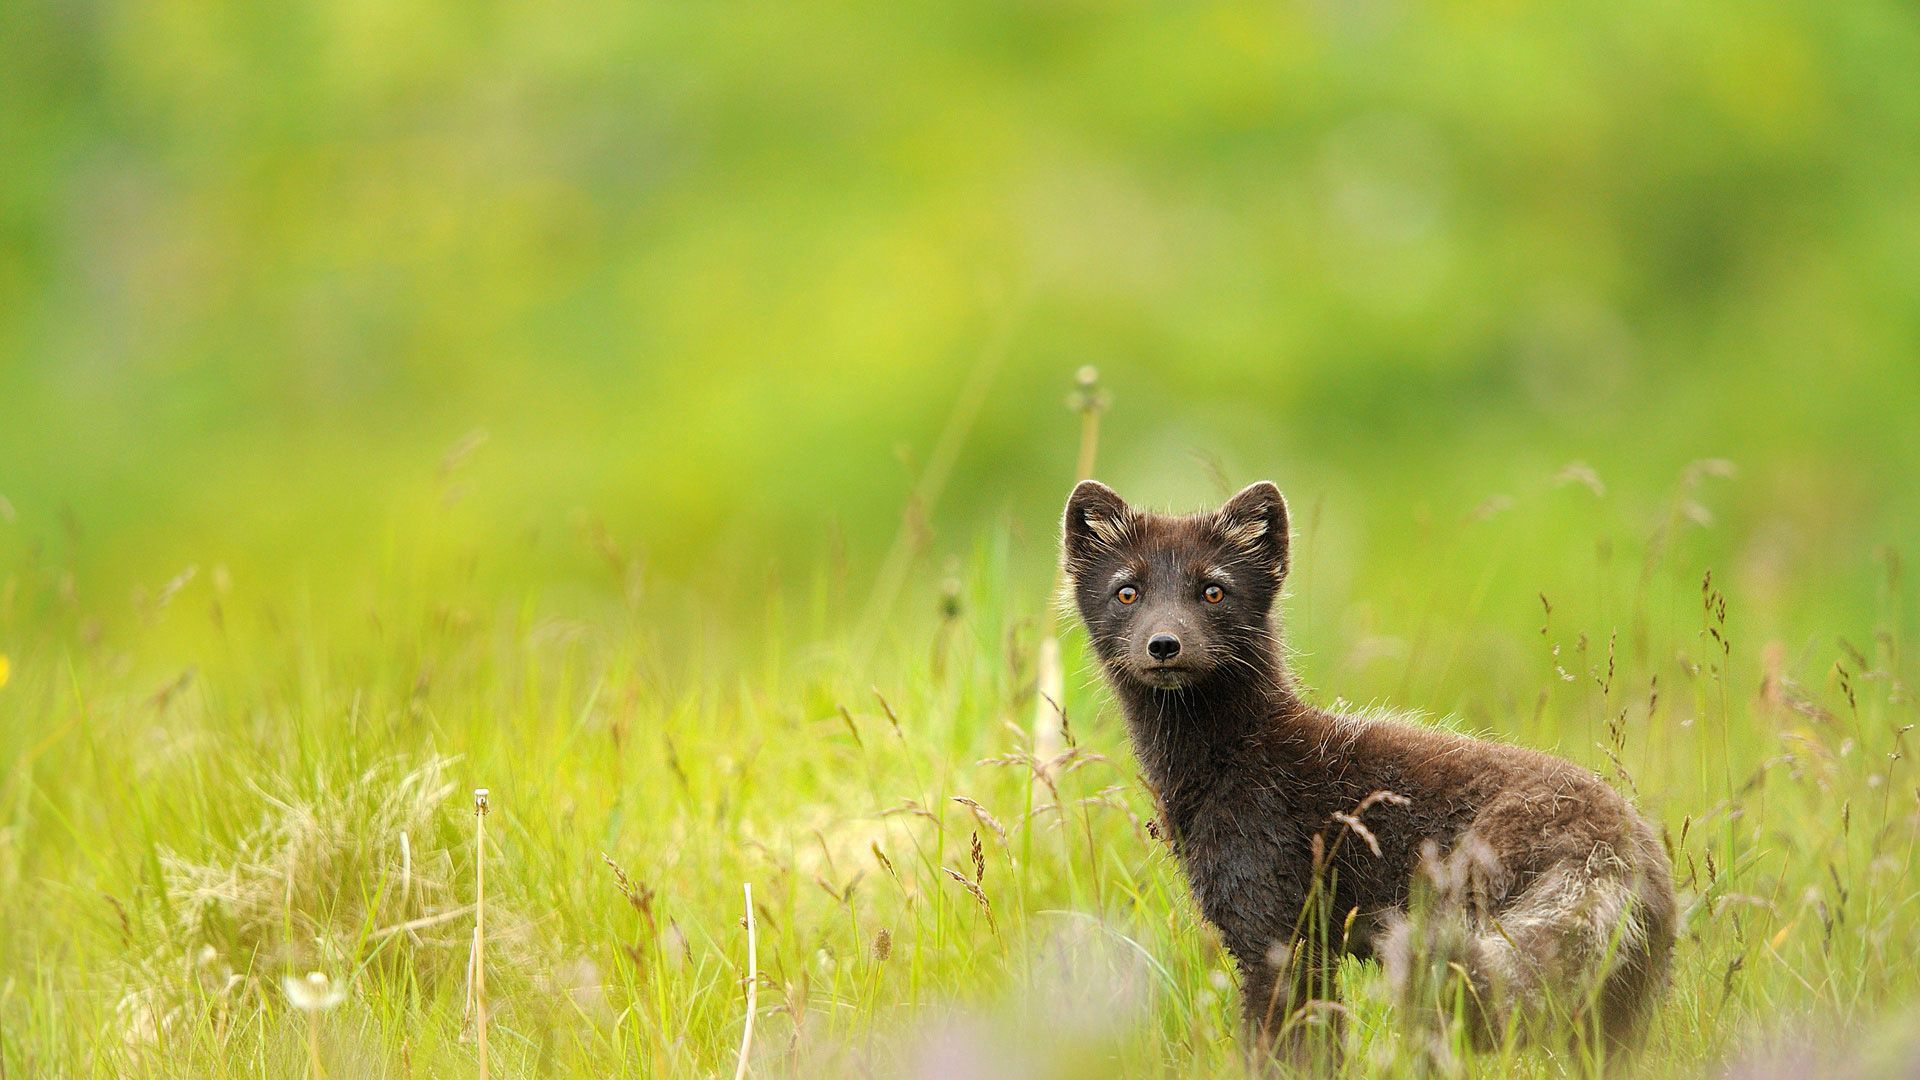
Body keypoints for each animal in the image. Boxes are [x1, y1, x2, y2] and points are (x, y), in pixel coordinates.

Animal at [1059, 478, 1674, 1060]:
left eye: (1214, 590)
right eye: (1127, 591)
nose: (1164, 644)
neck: (1234, 759)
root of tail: (1617, 850)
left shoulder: (1278, 927)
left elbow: (1284, 1049)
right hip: (1619, 1009)